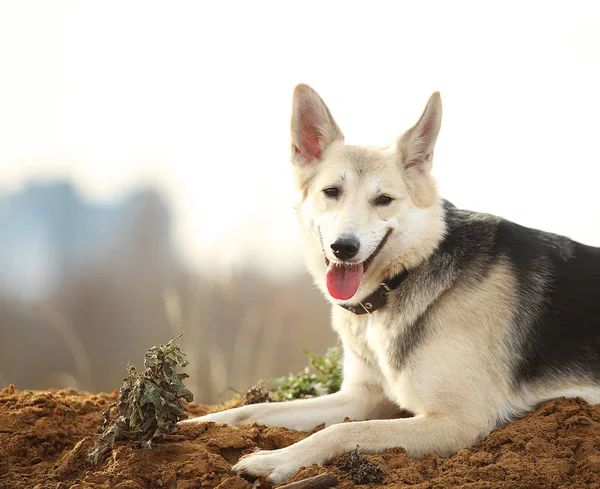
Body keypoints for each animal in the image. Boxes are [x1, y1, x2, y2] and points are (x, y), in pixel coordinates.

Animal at [185, 84, 600, 484]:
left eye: (383, 199)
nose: (344, 248)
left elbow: (341, 431)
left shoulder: (457, 421)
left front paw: (276, 459)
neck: (403, 279)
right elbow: (250, 409)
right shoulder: (362, 396)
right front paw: (191, 425)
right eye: (331, 192)